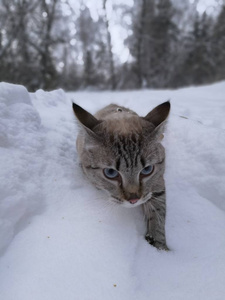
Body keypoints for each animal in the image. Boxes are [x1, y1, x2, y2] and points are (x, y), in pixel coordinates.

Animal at [73, 102, 170, 250]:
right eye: (110, 173)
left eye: (147, 170)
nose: (134, 200)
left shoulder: (158, 183)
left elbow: (159, 211)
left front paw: (159, 247)